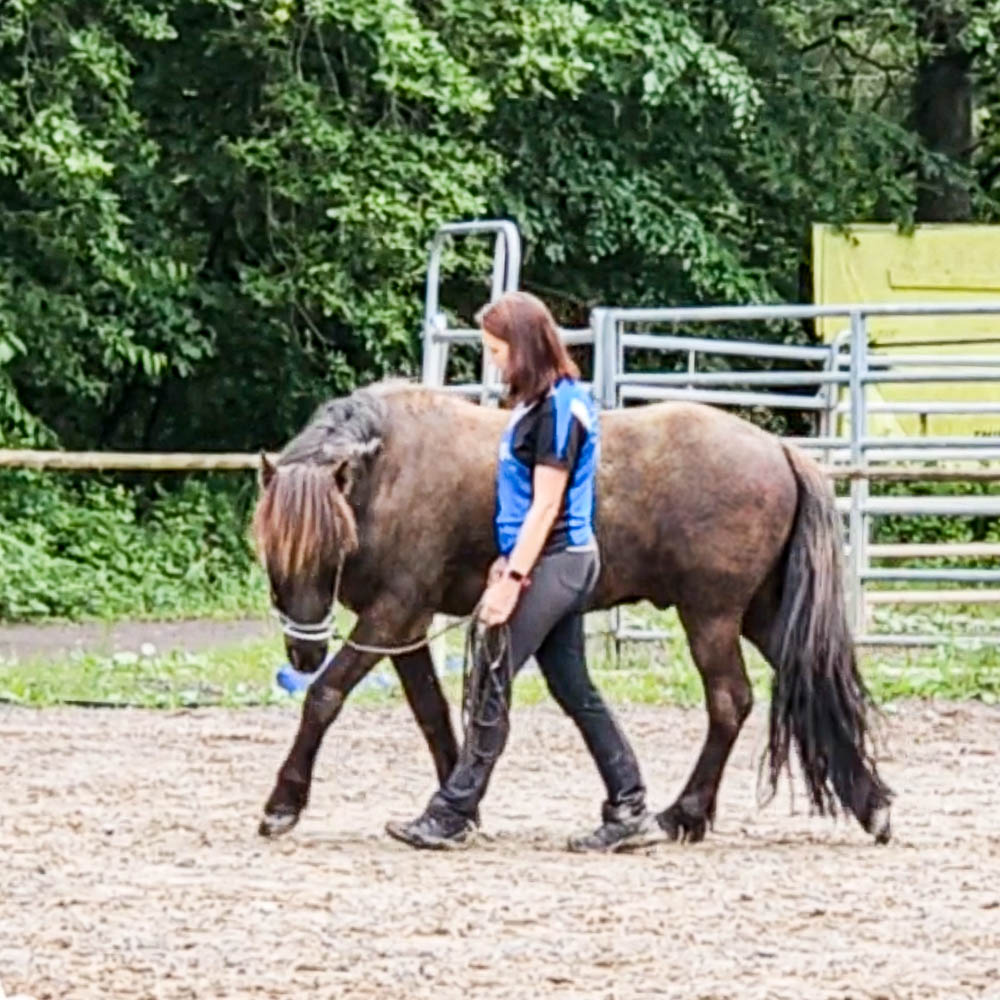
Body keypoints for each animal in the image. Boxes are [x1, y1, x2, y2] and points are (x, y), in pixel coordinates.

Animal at [250, 382, 892, 844]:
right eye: (271, 554)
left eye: (330, 549)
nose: (303, 650)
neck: (391, 472)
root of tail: (780, 451)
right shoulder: (406, 623)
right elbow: (431, 712)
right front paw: (458, 804)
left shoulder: (393, 613)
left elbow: (326, 696)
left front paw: (283, 804)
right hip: (760, 613)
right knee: (809, 685)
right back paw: (871, 803)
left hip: (710, 616)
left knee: (730, 702)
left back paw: (681, 814)